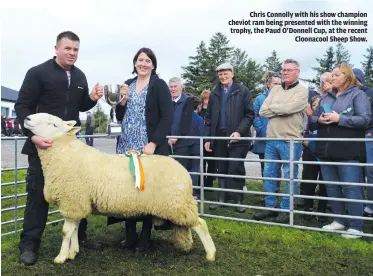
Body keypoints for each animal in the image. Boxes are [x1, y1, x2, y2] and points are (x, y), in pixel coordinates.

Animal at [23, 113, 215, 264]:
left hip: (177, 204)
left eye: (53, 124)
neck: (64, 154)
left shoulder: (72, 199)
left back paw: (211, 254)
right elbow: (75, 230)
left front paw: (61, 257)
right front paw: (73, 252)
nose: (27, 118)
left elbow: (65, 232)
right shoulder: (77, 202)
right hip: (177, 205)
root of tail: (184, 172)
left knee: (201, 224)